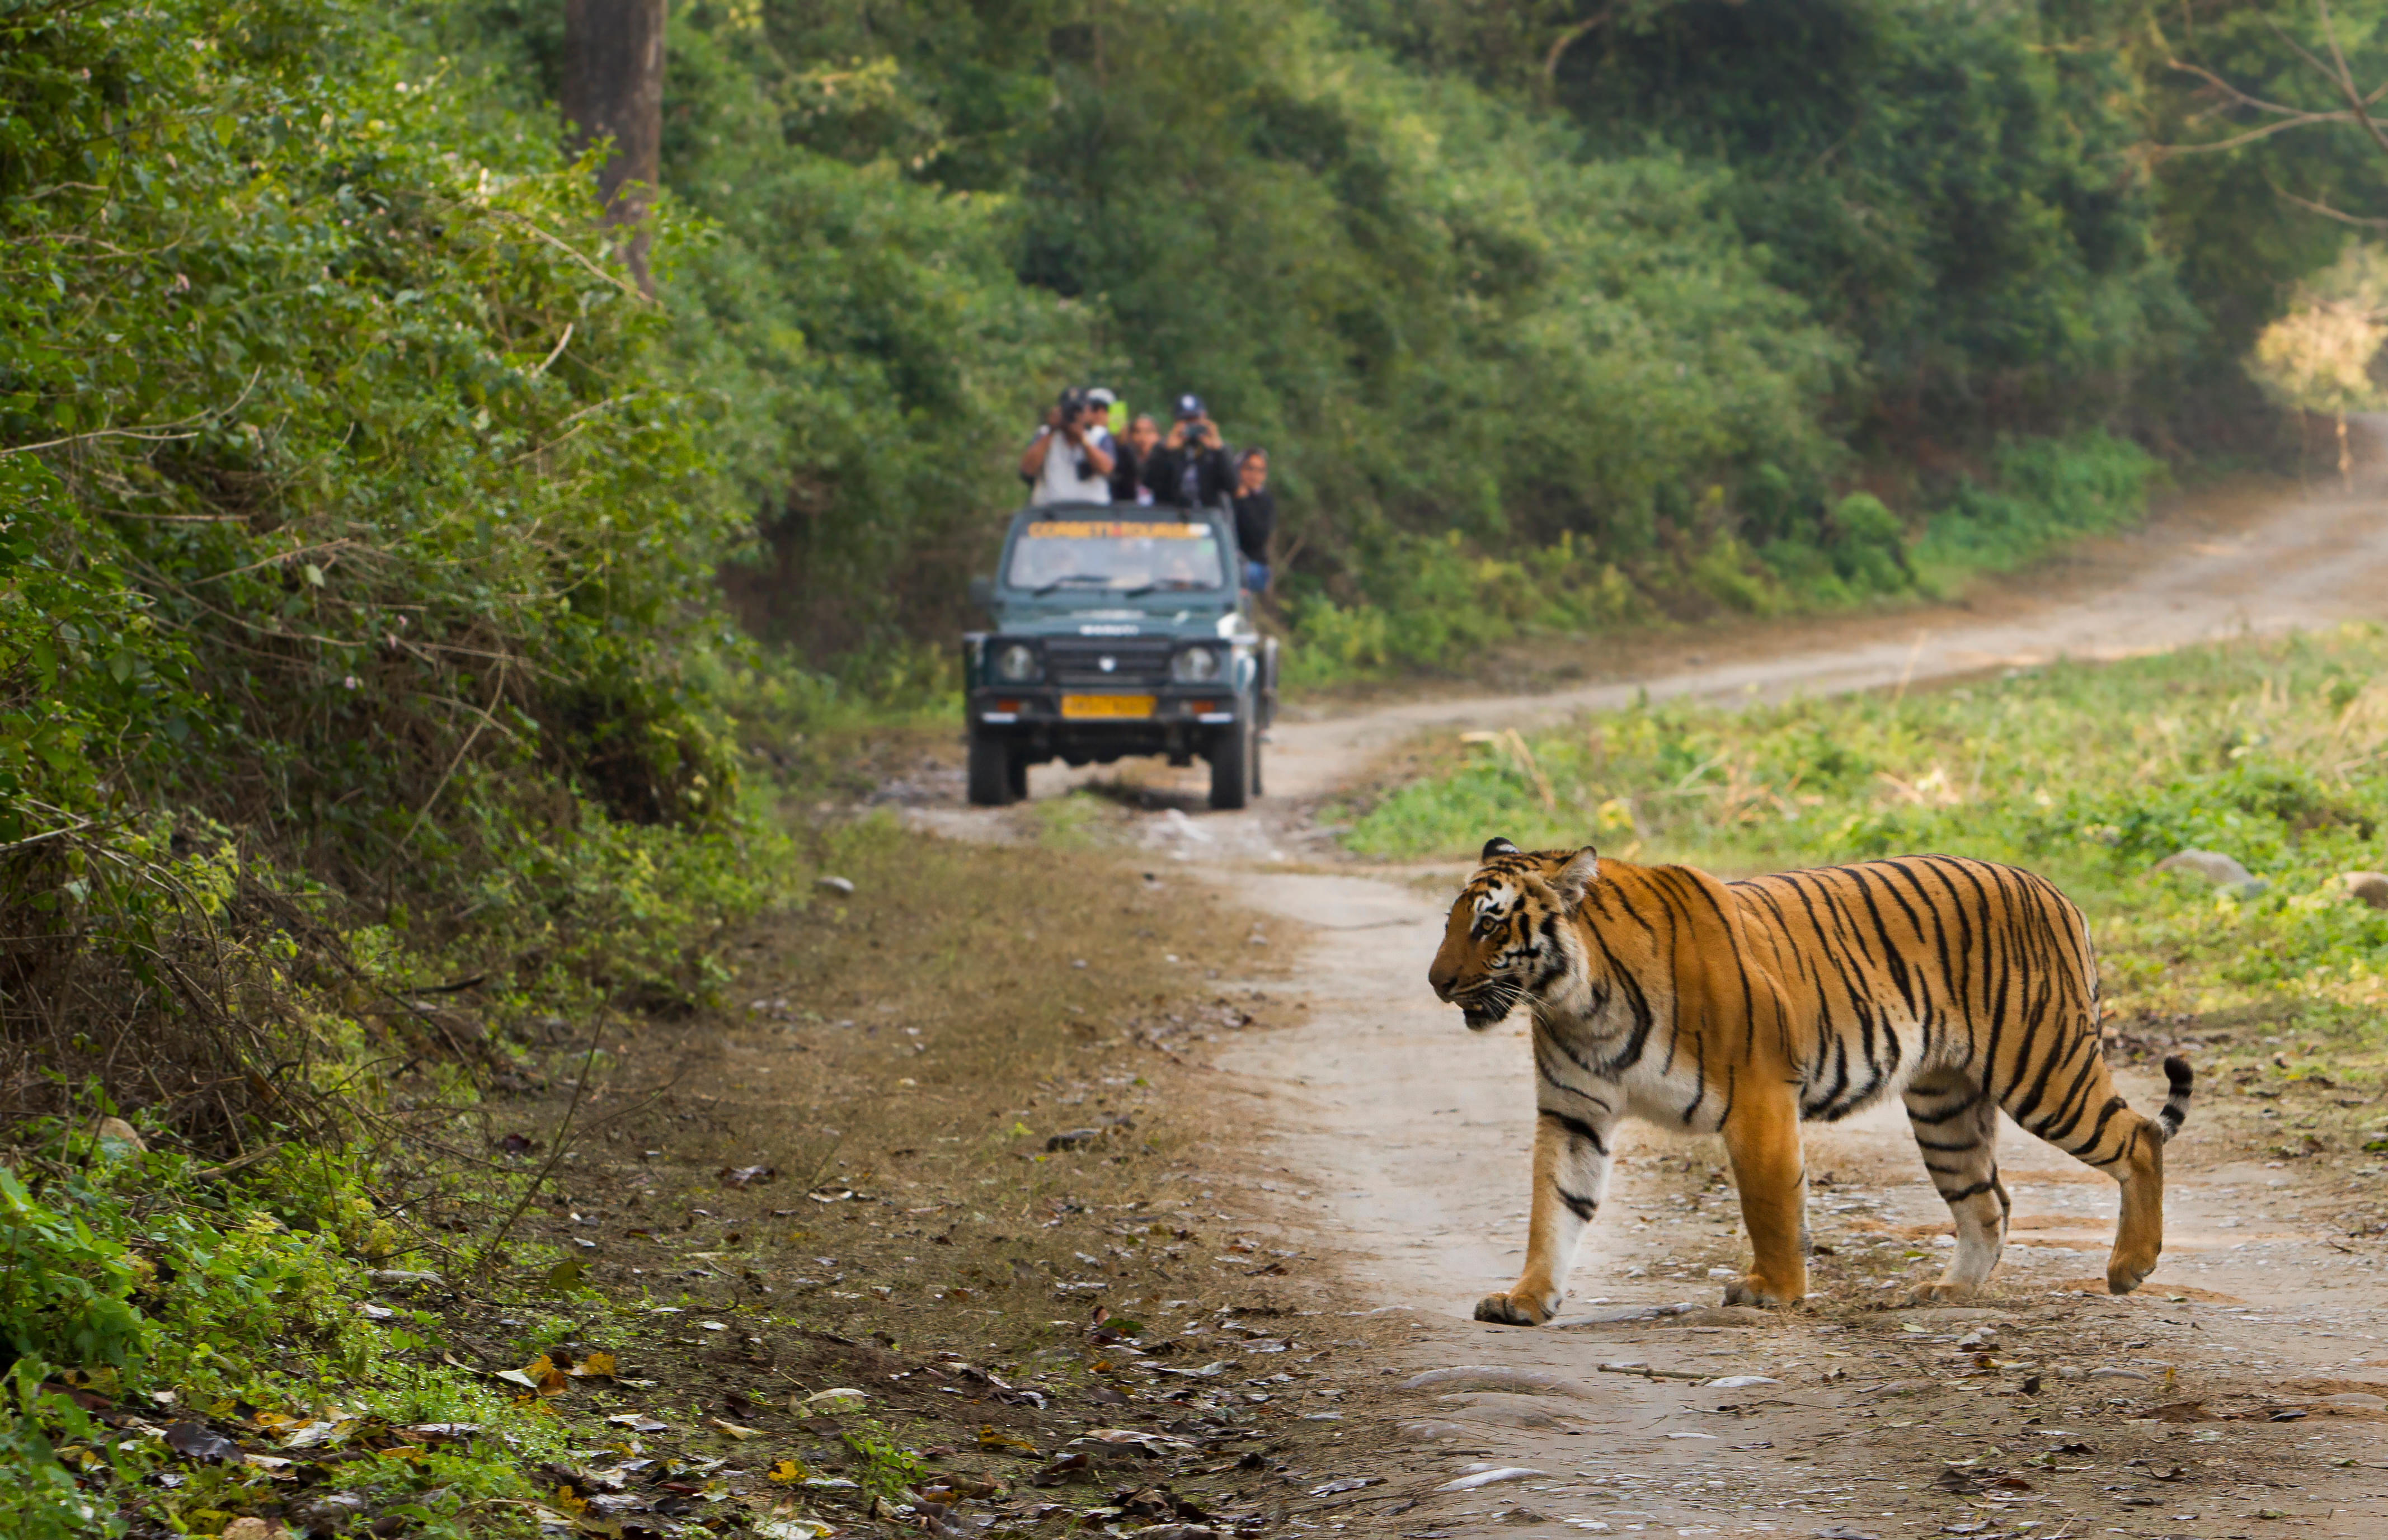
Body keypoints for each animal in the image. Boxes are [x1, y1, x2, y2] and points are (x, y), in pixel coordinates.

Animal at [1423, 835, 2187, 1318]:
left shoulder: (1758, 1094)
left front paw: (1773, 1290)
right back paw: (1949, 1291)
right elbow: (1552, 1207)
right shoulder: (1573, 1112)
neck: (1576, 1002)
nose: (1436, 982)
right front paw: (1525, 1299)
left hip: (2042, 1065)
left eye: (1490, 926)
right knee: (1987, 1200)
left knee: (2138, 1137)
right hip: (1944, 1106)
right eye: (1452, 923)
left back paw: (2129, 1265)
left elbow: (1769, 1202)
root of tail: (2052, 889)